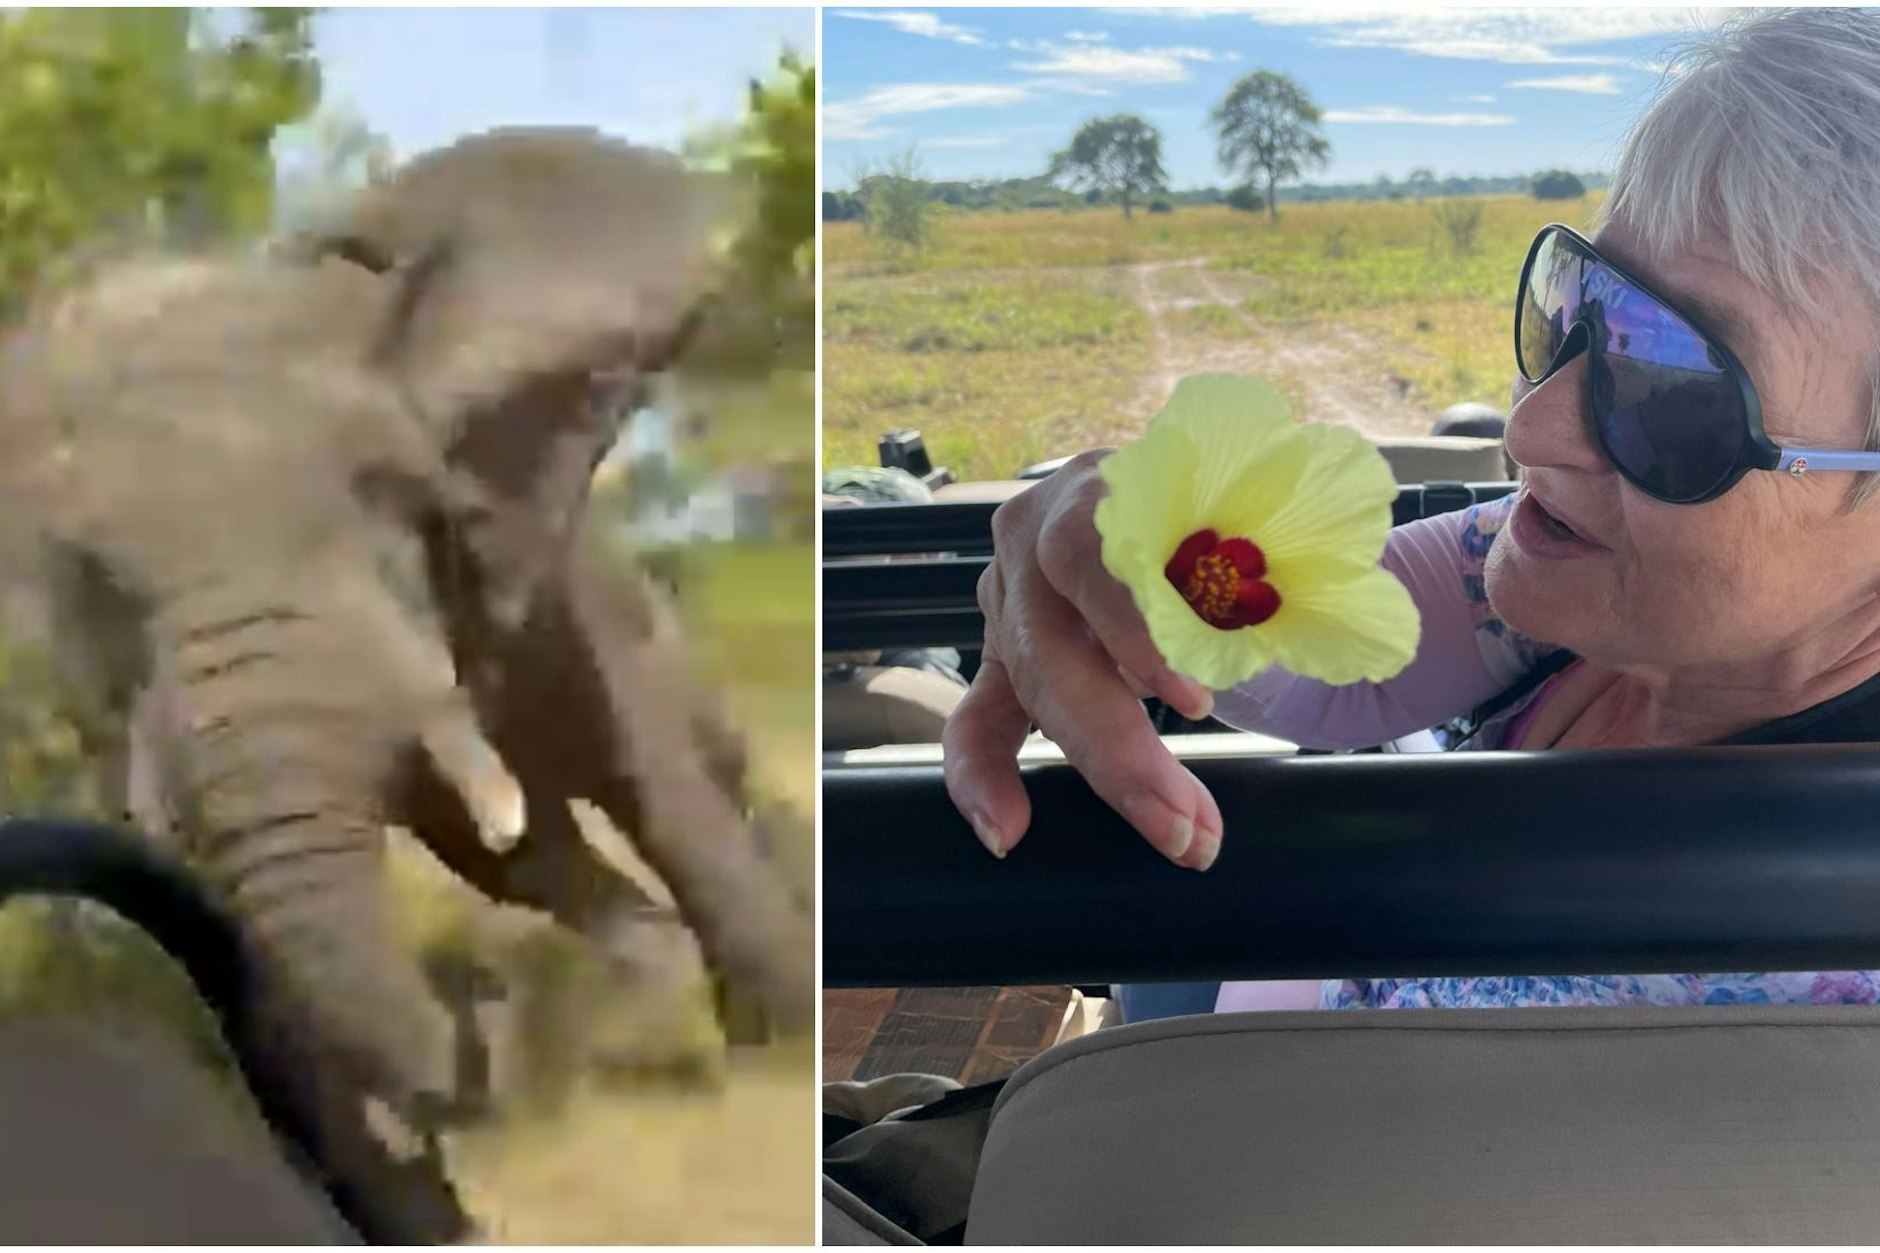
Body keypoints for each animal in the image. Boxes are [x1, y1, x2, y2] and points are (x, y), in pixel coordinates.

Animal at [0, 127, 813, 1237]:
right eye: (93, 583)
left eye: (388, 497)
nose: (483, 998)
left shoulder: (531, 555)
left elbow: (645, 769)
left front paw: (787, 1057)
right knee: (518, 855)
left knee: (678, 772)